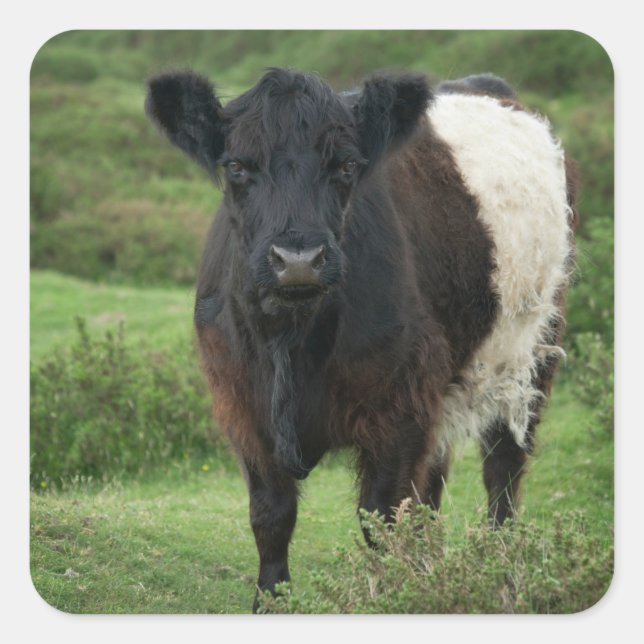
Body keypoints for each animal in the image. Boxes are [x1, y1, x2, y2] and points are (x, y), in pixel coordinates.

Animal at [145, 67, 577, 612]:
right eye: (237, 166)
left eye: (347, 165)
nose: (299, 259)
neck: (293, 339)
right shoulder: (242, 404)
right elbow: (271, 515)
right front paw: (270, 601)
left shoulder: (399, 406)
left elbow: (382, 518)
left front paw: (392, 596)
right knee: (435, 482)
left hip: (531, 352)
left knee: (503, 467)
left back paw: (500, 571)